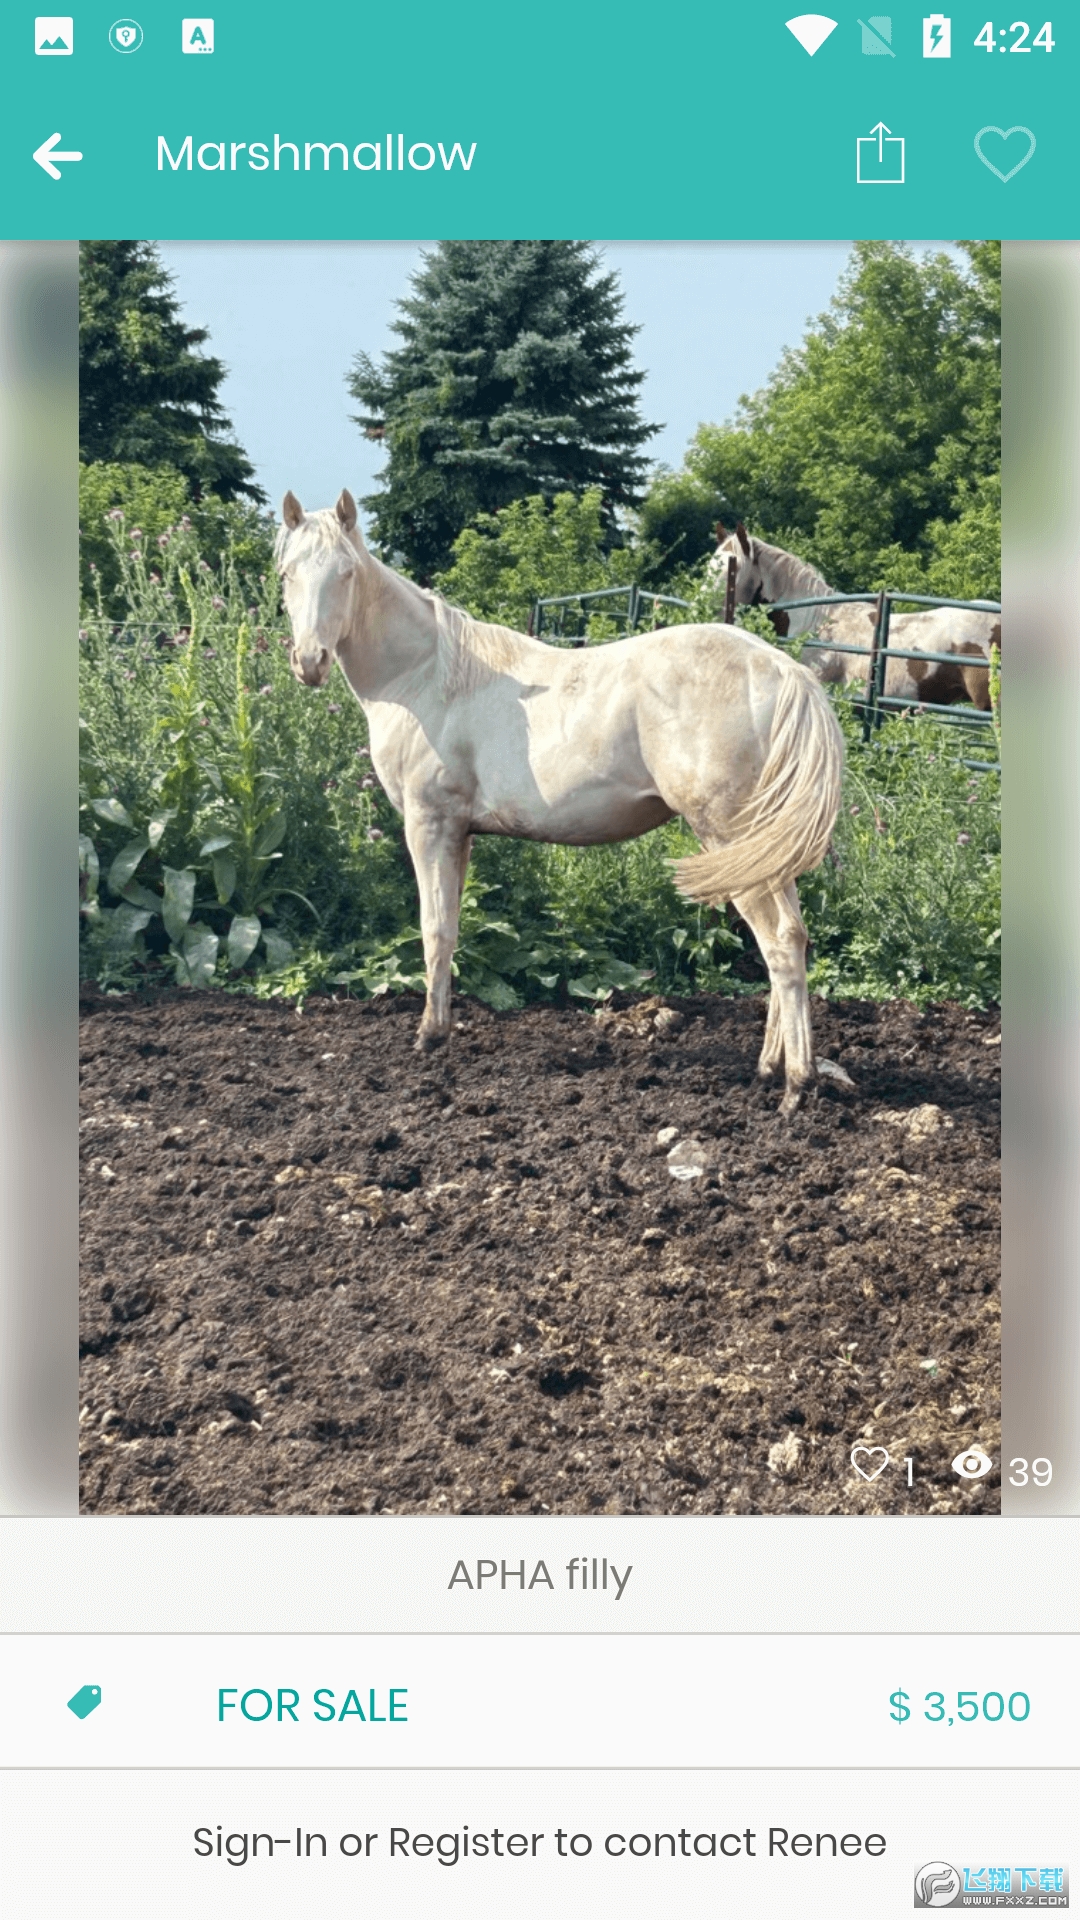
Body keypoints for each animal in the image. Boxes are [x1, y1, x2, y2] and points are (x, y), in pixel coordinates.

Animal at [276, 489, 845, 1116]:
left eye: (347, 573)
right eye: (287, 574)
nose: (309, 662)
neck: (425, 675)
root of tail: (782, 670)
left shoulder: (430, 825)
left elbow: (434, 929)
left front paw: (428, 1036)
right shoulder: (459, 833)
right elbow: (450, 927)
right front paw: (440, 1029)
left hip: (729, 836)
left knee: (780, 945)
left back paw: (796, 1084)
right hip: (757, 849)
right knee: (790, 939)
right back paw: (770, 1068)